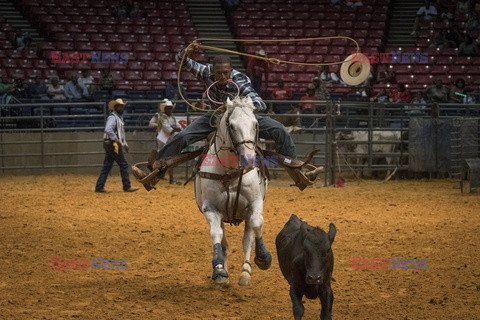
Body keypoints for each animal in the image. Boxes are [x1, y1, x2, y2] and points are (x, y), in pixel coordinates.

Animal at [193, 96, 272, 286]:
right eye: (231, 125)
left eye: (255, 124)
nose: (249, 159)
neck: (229, 173)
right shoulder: (211, 209)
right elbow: (216, 235)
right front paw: (219, 270)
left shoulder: (254, 204)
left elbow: (257, 224)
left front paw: (263, 258)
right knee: (224, 243)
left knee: (247, 240)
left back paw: (245, 271)